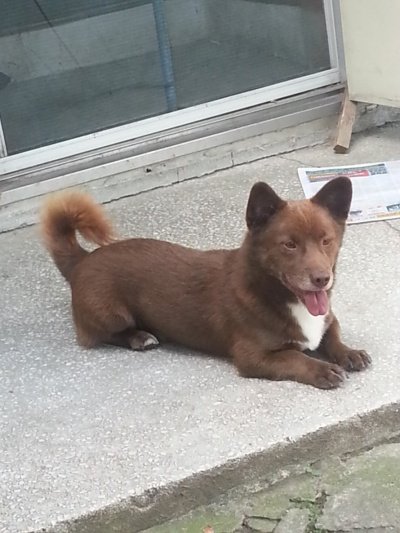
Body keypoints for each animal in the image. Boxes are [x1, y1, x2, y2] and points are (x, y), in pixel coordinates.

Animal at [40, 176, 370, 389]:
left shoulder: (328, 319)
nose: (322, 279)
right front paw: (323, 369)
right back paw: (140, 337)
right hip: (111, 314)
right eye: (289, 245)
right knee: (97, 336)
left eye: (326, 240)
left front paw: (349, 353)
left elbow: (332, 336)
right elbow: (295, 357)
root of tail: (82, 260)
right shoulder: (253, 357)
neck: (277, 294)